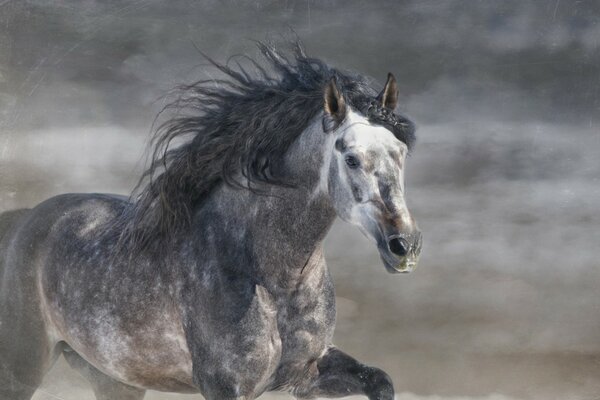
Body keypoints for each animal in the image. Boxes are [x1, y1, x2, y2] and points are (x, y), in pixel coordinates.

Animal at [0, 43, 422, 400]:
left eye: (401, 151)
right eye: (351, 158)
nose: (404, 246)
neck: (274, 278)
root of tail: (23, 221)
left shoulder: (306, 373)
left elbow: (380, 381)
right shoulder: (226, 386)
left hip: (114, 379)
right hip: (22, 368)